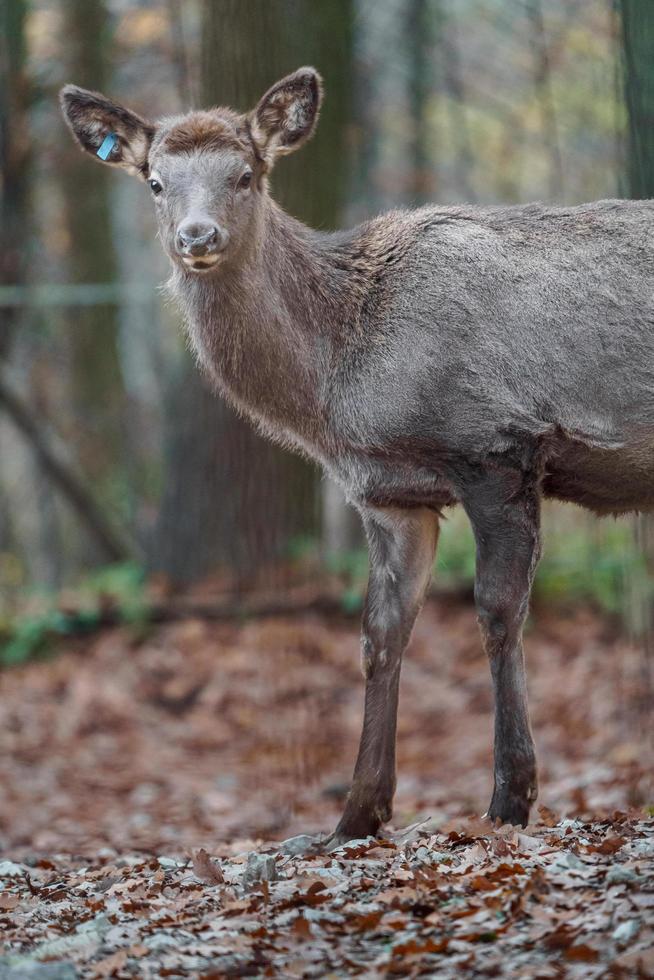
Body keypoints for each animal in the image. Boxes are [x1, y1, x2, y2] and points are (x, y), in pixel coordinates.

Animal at [61, 67, 654, 844]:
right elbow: (381, 633)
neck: (342, 388)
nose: (197, 236)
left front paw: (510, 798)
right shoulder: (389, 495)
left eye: (245, 174)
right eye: (156, 182)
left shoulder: (497, 444)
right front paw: (358, 813)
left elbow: (497, 615)